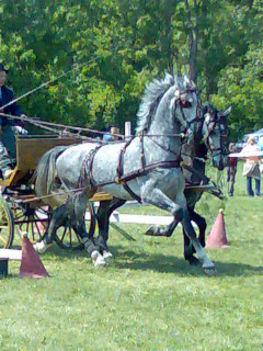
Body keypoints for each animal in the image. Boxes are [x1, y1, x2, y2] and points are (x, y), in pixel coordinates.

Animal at [34, 73, 220, 274]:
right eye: (186, 103)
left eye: (198, 103)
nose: (195, 133)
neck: (157, 150)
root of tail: (64, 150)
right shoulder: (150, 194)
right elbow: (178, 213)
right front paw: (156, 230)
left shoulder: (178, 195)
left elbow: (187, 223)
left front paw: (205, 260)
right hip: (79, 193)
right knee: (77, 222)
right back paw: (97, 256)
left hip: (82, 192)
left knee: (61, 213)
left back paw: (43, 244)